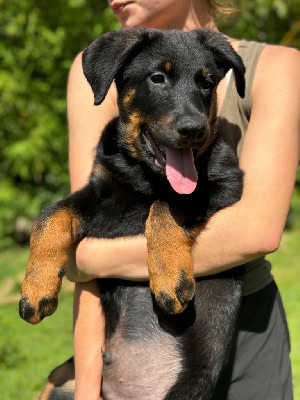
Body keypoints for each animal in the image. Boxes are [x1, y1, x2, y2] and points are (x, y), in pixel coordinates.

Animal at [21, 29, 246, 398]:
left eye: (207, 83)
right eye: (157, 78)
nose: (194, 129)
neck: (142, 172)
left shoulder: (227, 183)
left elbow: (165, 205)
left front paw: (169, 277)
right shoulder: (101, 195)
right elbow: (50, 214)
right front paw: (35, 288)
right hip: (62, 377)